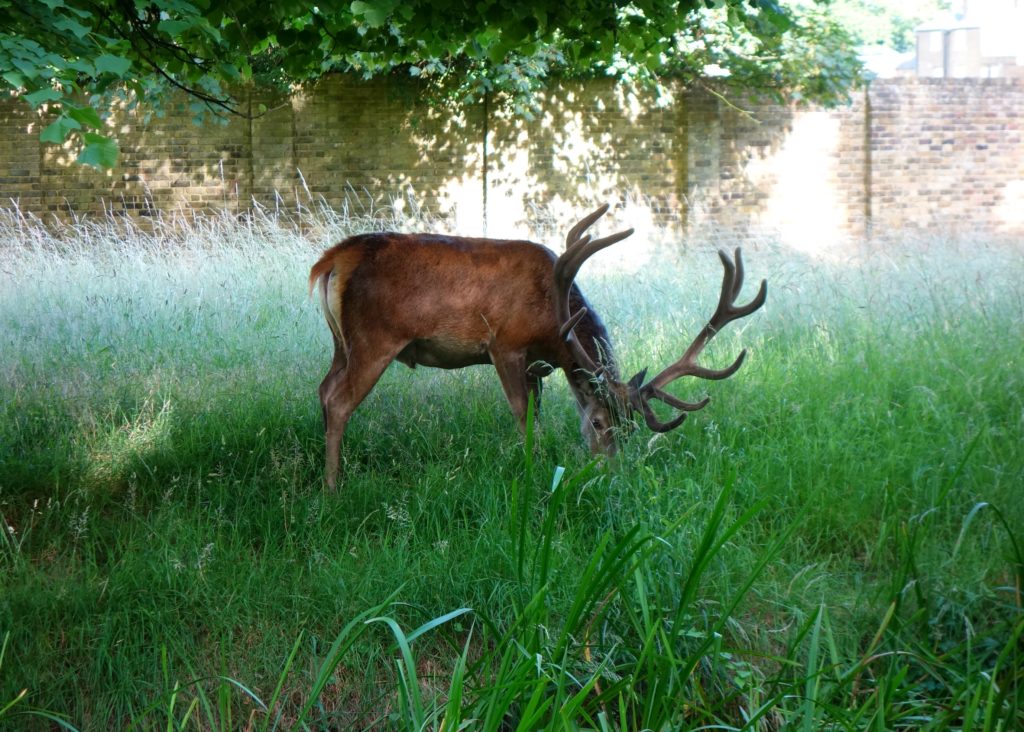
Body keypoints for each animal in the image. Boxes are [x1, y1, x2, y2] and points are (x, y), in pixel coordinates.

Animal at [307, 204, 765, 487]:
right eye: (598, 422)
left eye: (630, 428)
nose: (611, 471)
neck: (552, 324)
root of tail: (333, 259)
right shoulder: (505, 345)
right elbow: (523, 417)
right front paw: (535, 471)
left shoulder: (538, 366)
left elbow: (537, 414)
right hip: (375, 337)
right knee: (341, 400)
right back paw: (332, 485)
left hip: (342, 341)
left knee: (324, 389)